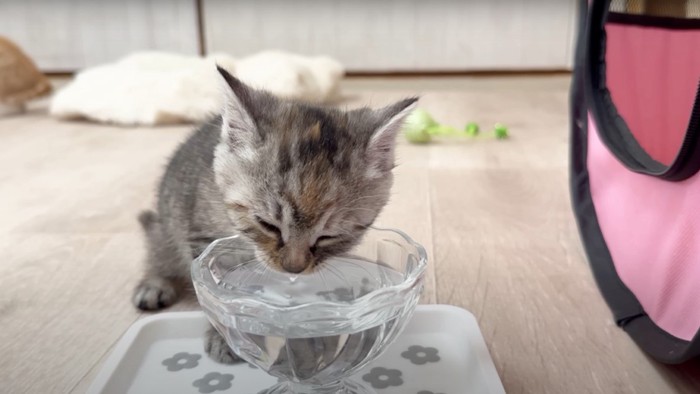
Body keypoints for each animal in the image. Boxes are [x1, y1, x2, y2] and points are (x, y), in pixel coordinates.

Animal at [133, 67, 416, 364]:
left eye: (329, 236)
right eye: (267, 225)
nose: (294, 268)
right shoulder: (200, 237)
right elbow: (217, 294)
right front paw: (226, 334)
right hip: (167, 221)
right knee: (158, 247)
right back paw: (153, 284)